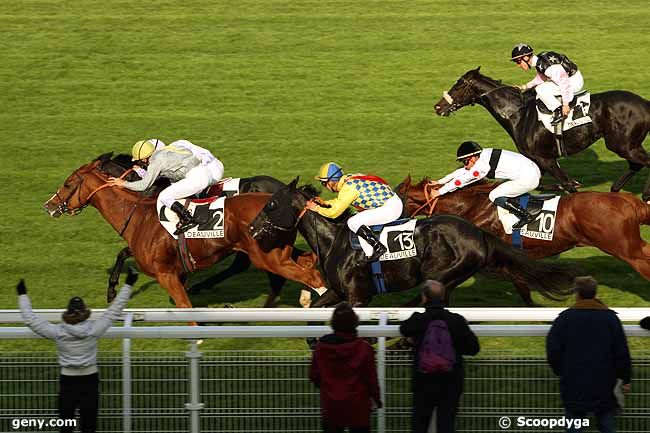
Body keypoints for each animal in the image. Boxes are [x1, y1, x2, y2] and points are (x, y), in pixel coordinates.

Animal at [41, 154, 324, 308]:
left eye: (68, 183)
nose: (49, 206)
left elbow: (123, 253)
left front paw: (111, 290)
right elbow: (124, 253)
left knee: (259, 270)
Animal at [248, 181, 572, 306]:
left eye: (272, 204)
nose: (250, 228)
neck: (334, 242)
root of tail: (479, 234)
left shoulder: (358, 296)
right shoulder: (339, 292)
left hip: (440, 275)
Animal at [398, 176, 648, 300]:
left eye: (399, 199)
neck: (474, 206)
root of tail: (627, 200)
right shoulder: (513, 260)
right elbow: (523, 288)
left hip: (624, 248)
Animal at [432, 66, 648, 199]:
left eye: (459, 84)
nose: (437, 107)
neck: (518, 114)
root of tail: (645, 103)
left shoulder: (545, 159)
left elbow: (566, 184)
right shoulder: (537, 161)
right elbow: (542, 184)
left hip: (622, 145)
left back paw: (644, 196)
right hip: (627, 145)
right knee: (636, 164)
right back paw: (616, 190)